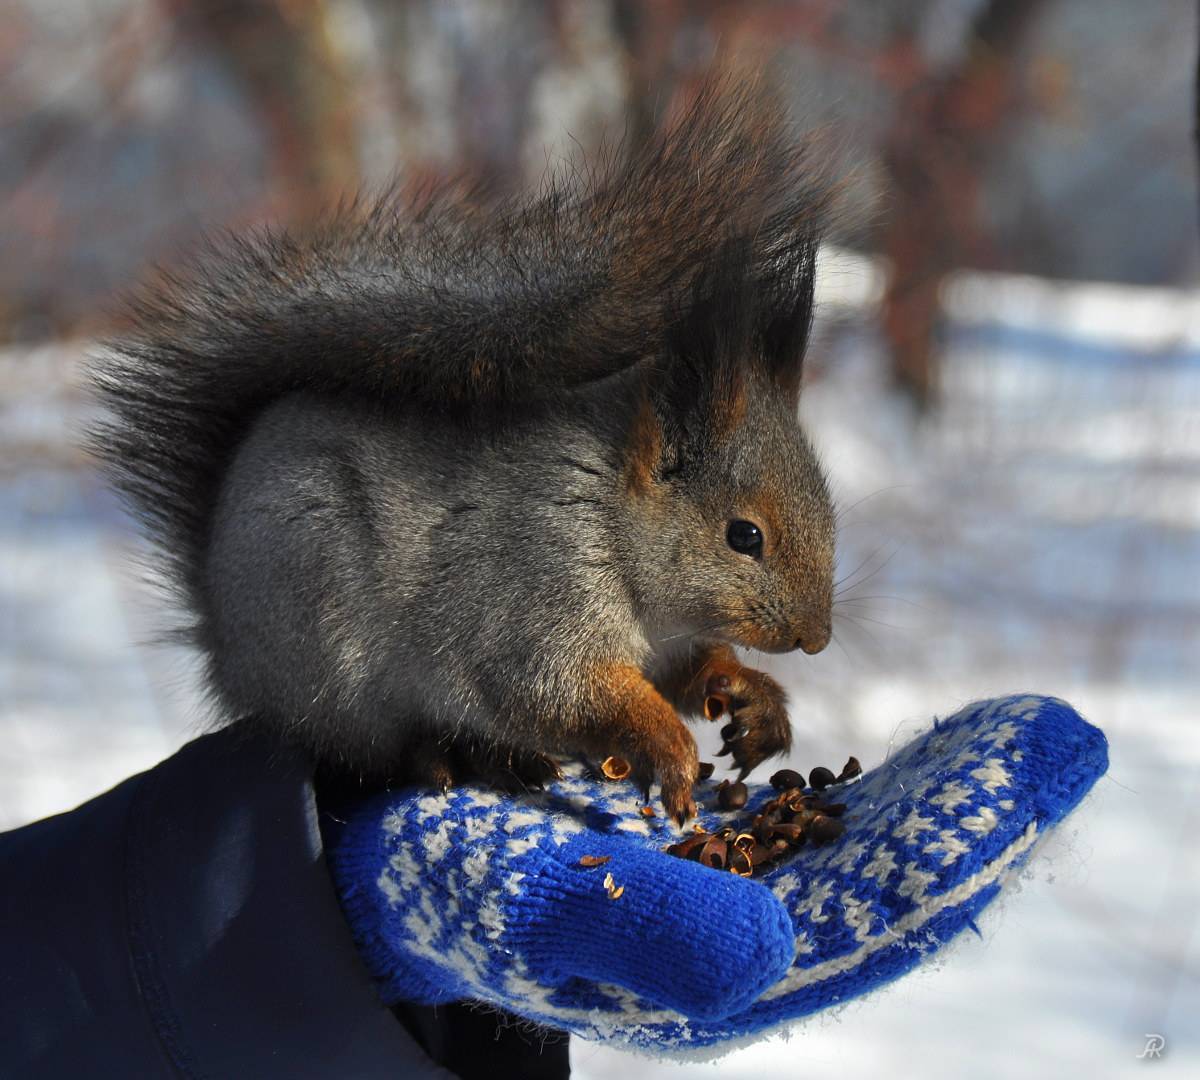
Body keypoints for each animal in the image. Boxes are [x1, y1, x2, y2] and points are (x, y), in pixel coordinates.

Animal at [91, 78, 835, 820]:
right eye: (744, 536)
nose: (817, 639)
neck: (612, 520)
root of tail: (225, 646)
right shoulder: (532, 592)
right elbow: (556, 689)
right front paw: (670, 749)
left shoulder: (665, 640)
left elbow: (688, 673)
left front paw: (751, 698)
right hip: (325, 650)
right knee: (378, 747)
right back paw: (464, 757)